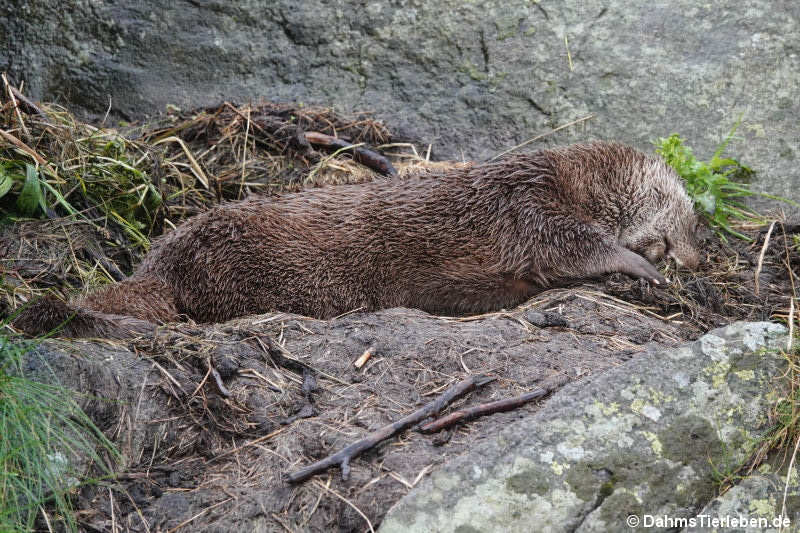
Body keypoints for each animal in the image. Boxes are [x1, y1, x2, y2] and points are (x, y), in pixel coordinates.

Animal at [12, 141, 700, 336]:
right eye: (696, 221)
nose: (697, 255)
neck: (562, 179)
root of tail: (159, 265)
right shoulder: (527, 207)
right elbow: (573, 245)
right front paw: (640, 264)